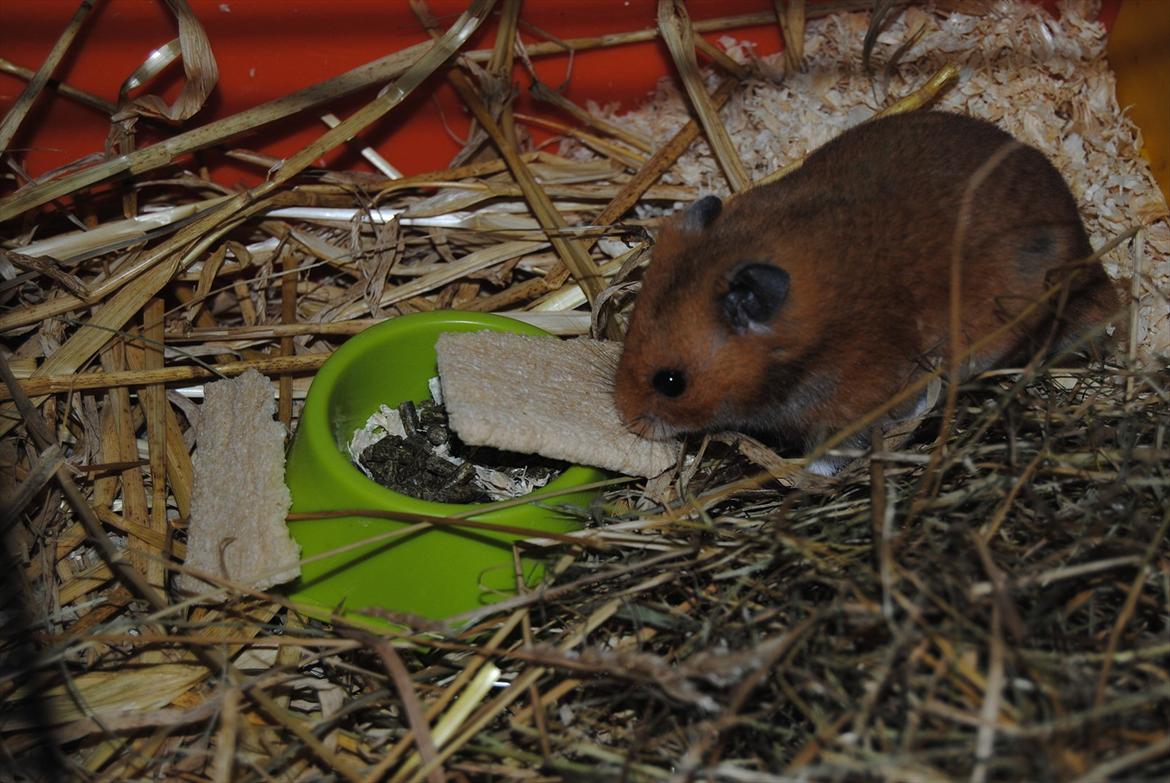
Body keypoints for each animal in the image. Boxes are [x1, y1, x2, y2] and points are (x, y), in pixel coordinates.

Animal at [613, 111, 1119, 473]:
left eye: (670, 383)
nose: (626, 419)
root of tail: (1087, 249)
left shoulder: (854, 403)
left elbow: (833, 448)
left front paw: (808, 474)